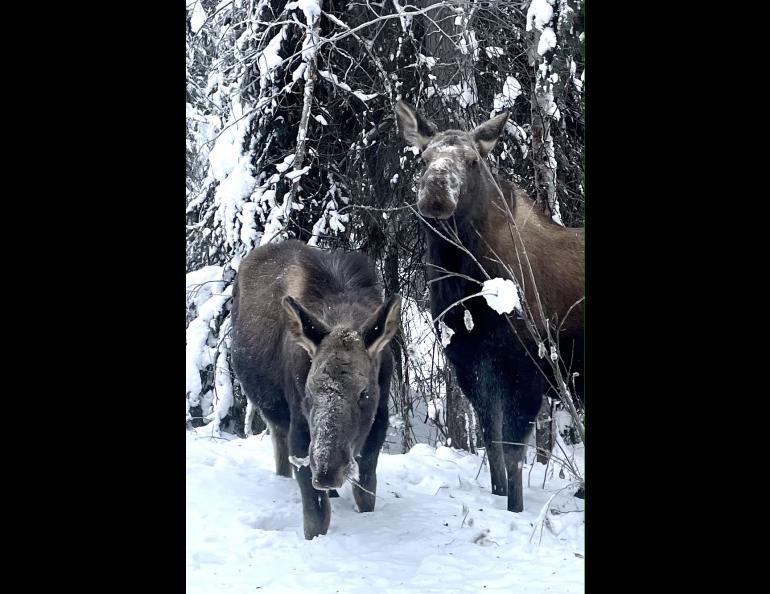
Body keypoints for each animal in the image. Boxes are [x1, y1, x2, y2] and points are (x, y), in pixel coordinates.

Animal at [230, 239, 402, 536]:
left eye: (364, 393)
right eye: (309, 391)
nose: (326, 470)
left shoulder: (378, 424)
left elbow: (366, 494)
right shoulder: (300, 428)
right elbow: (316, 516)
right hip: (273, 412)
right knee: (280, 451)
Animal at [396, 99, 584, 512]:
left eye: (473, 161)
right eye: (424, 158)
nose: (436, 190)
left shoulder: (526, 369)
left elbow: (513, 452)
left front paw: (515, 508)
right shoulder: (469, 364)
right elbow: (491, 444)